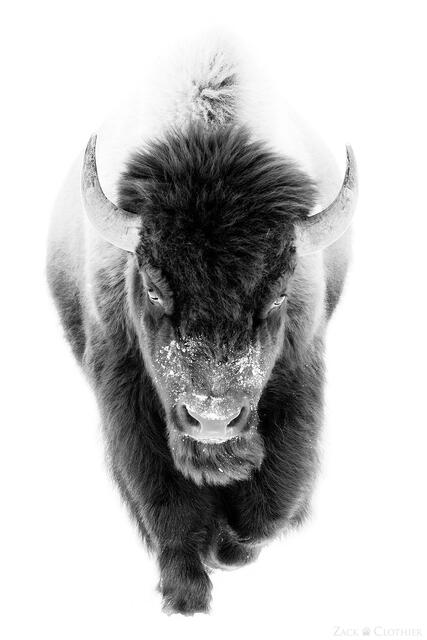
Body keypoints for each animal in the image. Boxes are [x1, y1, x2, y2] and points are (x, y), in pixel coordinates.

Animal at [47, 44, 357, 615]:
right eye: (152, 288)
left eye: (278, 293)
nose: (212, 420)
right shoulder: (128, 390)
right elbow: (166, 498)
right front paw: (186, 594)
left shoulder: (297, 375)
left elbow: (268, 504)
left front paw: (232, 549)